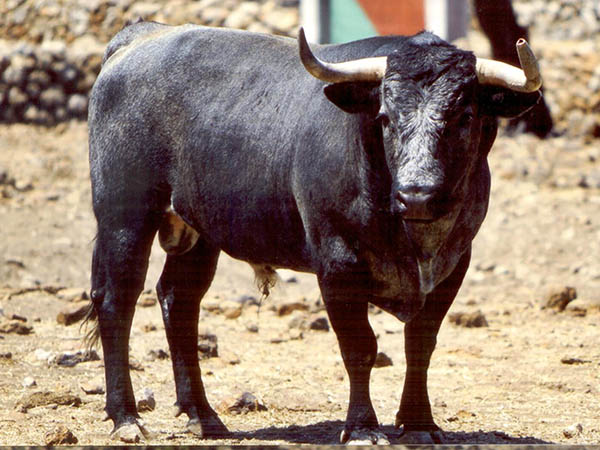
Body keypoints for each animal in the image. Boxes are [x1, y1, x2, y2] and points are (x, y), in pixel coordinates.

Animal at [86, 21, 542, 444]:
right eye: (384, 117)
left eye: (465, 116)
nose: (417, 194)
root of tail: (140, 36)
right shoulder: (337, 262)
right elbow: (360, 346)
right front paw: (362, 428)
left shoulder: (454, 265)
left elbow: (420, 343)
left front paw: (419, 424)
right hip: (124, 216)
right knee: (116, 302)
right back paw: (127, 418)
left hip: (198, 233)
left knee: (179, 302)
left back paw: (204, 416)